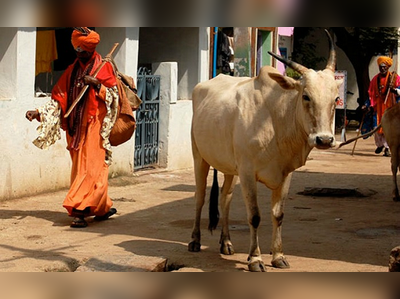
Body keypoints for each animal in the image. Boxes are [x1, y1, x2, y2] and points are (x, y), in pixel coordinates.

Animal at [189, 30, 342, 272]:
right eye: (306, 96)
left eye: (336, 99)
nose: (325, 139)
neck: (276, 119)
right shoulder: (248, 173)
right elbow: (255, 216)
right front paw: (255, 258)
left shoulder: (285, 174)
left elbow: (278, 215)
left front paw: (278, 256)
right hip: (200, 157)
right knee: (200, 196)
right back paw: (195, 240)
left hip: (230, 168)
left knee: (225, 198)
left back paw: (226, 242)